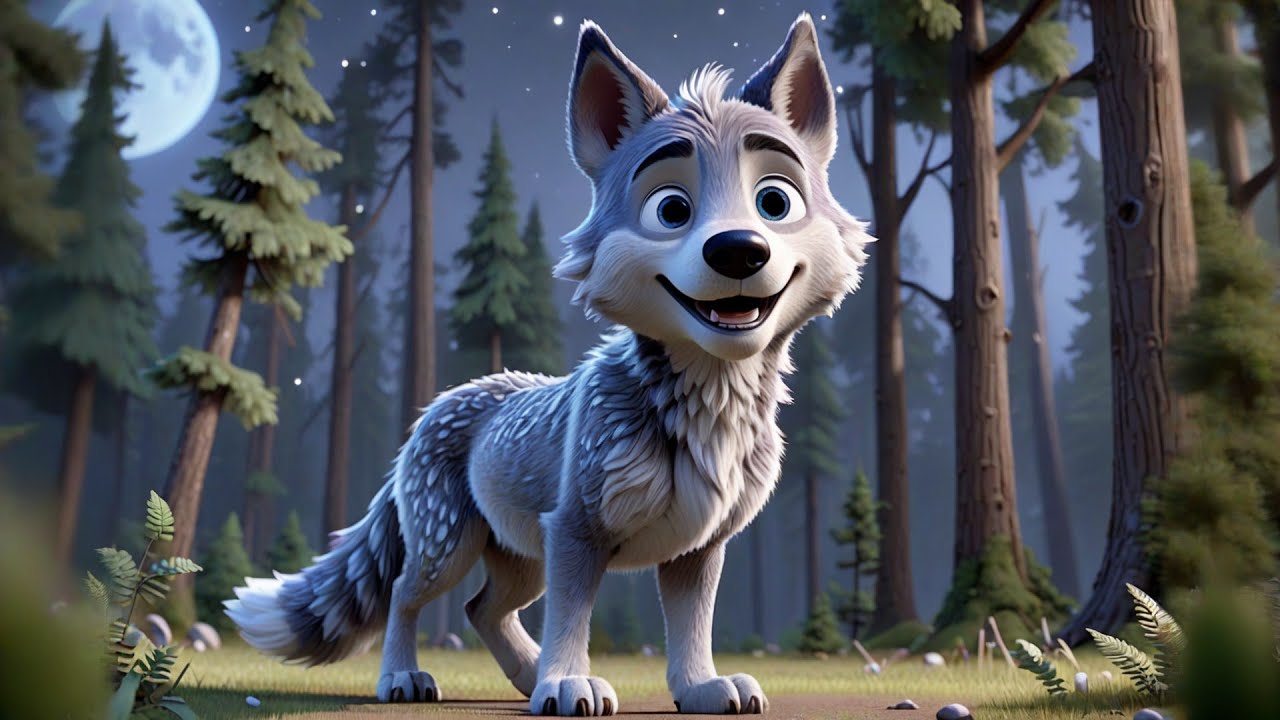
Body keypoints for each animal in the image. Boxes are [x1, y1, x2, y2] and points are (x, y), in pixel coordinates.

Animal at [225, 13, 870, 716]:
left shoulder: (697, 546)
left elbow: (691, 628)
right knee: (405, 594)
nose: (739, 251)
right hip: (452, 548)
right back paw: (406, 678)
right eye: (672, 209)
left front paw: (699, 686)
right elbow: (572, 618)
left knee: (483, 609)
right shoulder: (574, 530)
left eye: (774, 202)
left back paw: (524, 676)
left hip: (519, 558)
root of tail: (434, 408)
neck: (708, 409)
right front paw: (568, 682)